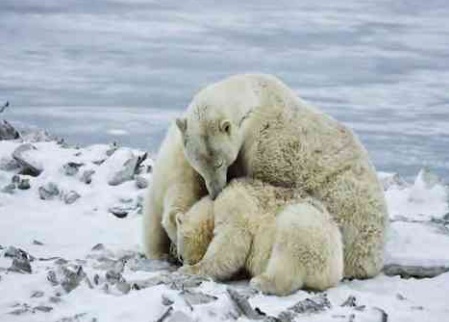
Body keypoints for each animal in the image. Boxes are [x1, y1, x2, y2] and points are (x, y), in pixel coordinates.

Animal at [143, 73, 384, 280]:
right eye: (200, 165)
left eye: (220, 162)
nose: (216, 191)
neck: (254, 98)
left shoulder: (265, 145)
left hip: (350, 212)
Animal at [177, 177, 342, 296]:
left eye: (179, 255)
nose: (183, 261)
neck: (214, 201)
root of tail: (335, 271)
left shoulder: (235, 206)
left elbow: (231, 243)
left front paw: (189, 270)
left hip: (307, 230)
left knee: (288, 252)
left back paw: (260, 281)